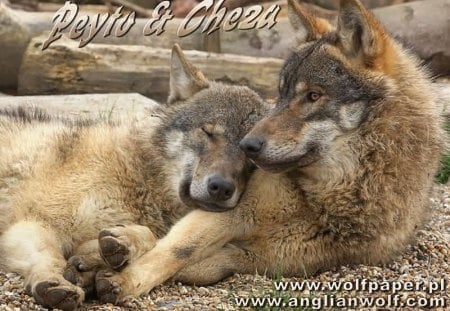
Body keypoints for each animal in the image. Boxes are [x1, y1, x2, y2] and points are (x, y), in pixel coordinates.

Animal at [0, 44, 268, 311]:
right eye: (208, 133)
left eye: (251, 154)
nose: (221, 187)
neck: (137, 179)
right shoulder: (32, 223)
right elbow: (49, 255)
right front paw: (53, 281)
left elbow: (151, 239)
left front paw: (120, 245)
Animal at [87, 0, 442, 308]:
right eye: (281, 95)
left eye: (313, 96)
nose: (248, 144)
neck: (325, 199)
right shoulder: (231, 213)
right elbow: (175, 251)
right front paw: (124, 279)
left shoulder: (275, 257)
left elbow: (205, 263)